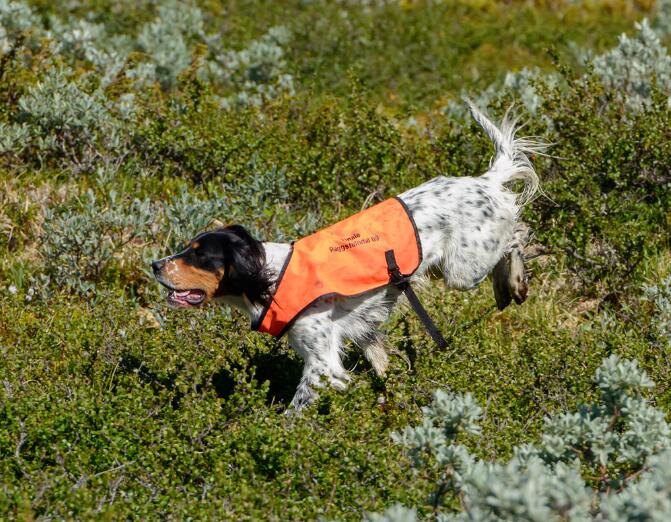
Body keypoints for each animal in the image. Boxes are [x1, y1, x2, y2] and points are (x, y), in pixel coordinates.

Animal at [152, 101, 544, 410]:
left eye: (200, 256)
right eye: (187, 247)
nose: (155, 265)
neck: (270, 278)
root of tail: (484, 182)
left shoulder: (321, 364)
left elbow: (294, 413)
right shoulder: (360, 329)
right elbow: (381, 363)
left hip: (464, 268)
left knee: (518, 233)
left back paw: (515, 281)